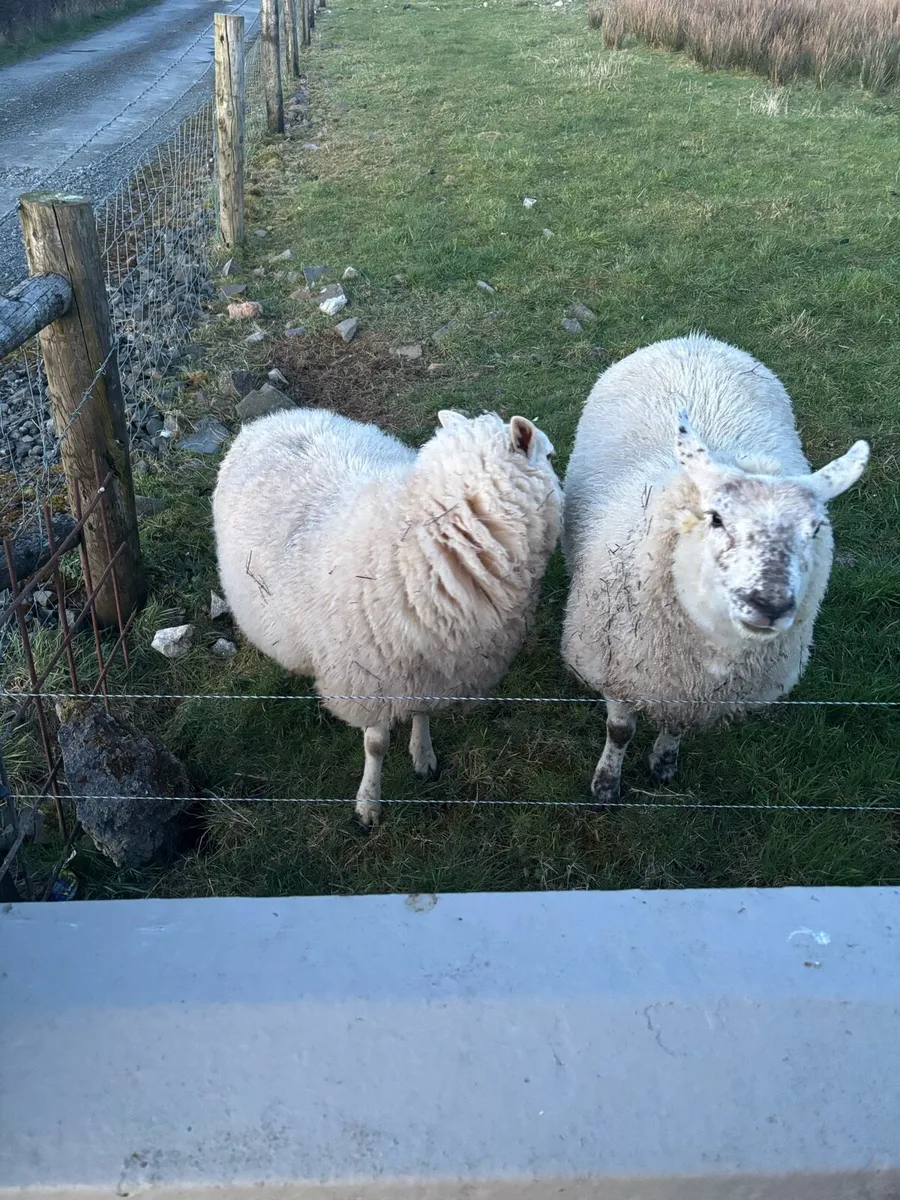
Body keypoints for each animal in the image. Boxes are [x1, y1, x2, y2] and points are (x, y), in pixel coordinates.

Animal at [213, 406, 562, 825]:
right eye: (549, 455)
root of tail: (274, 417)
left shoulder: (431, 664)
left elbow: (421, 711)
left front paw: (423, 756)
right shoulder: (369, 676)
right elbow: (376, 744)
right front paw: (368, 802)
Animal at [561, 332, 869, 803]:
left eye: (816, 528)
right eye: (716, 518)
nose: (769, 604)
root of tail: (695, 339)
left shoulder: (687, 694)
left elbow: (675, 726)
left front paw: (664, 762)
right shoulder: (616, 672)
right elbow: (619, 731)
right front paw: (606, 784)